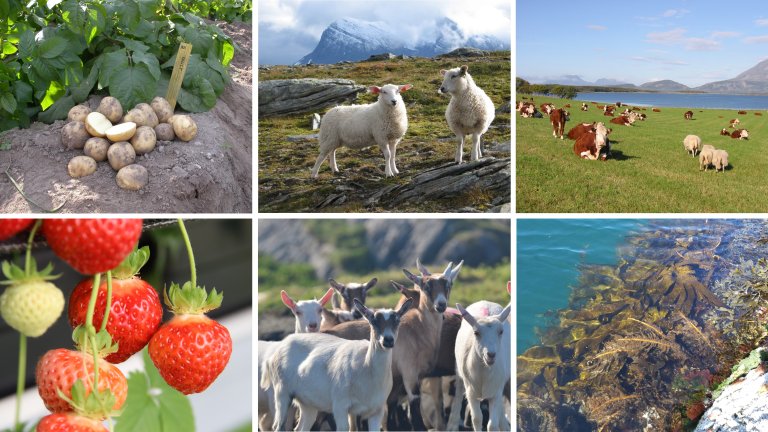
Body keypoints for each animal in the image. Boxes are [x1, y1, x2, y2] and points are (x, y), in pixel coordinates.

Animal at [262, 298, 414, 430]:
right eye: (373, 321)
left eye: (397, 321)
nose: (388, 340)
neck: (366, 370)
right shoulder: (340, 406)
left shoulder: (377, 410)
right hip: (282, 392)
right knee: (278, 426)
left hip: (308, 403)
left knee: (300, 427)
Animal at [450, 300, 510, 432]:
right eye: (476, 333)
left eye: (501, 331)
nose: (491, 355)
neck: (484, 372)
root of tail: (485, 302)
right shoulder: (471, 392)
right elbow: (477, 419)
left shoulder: (496, 392)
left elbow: (492, 425)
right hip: (460, 375)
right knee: (457, 398)